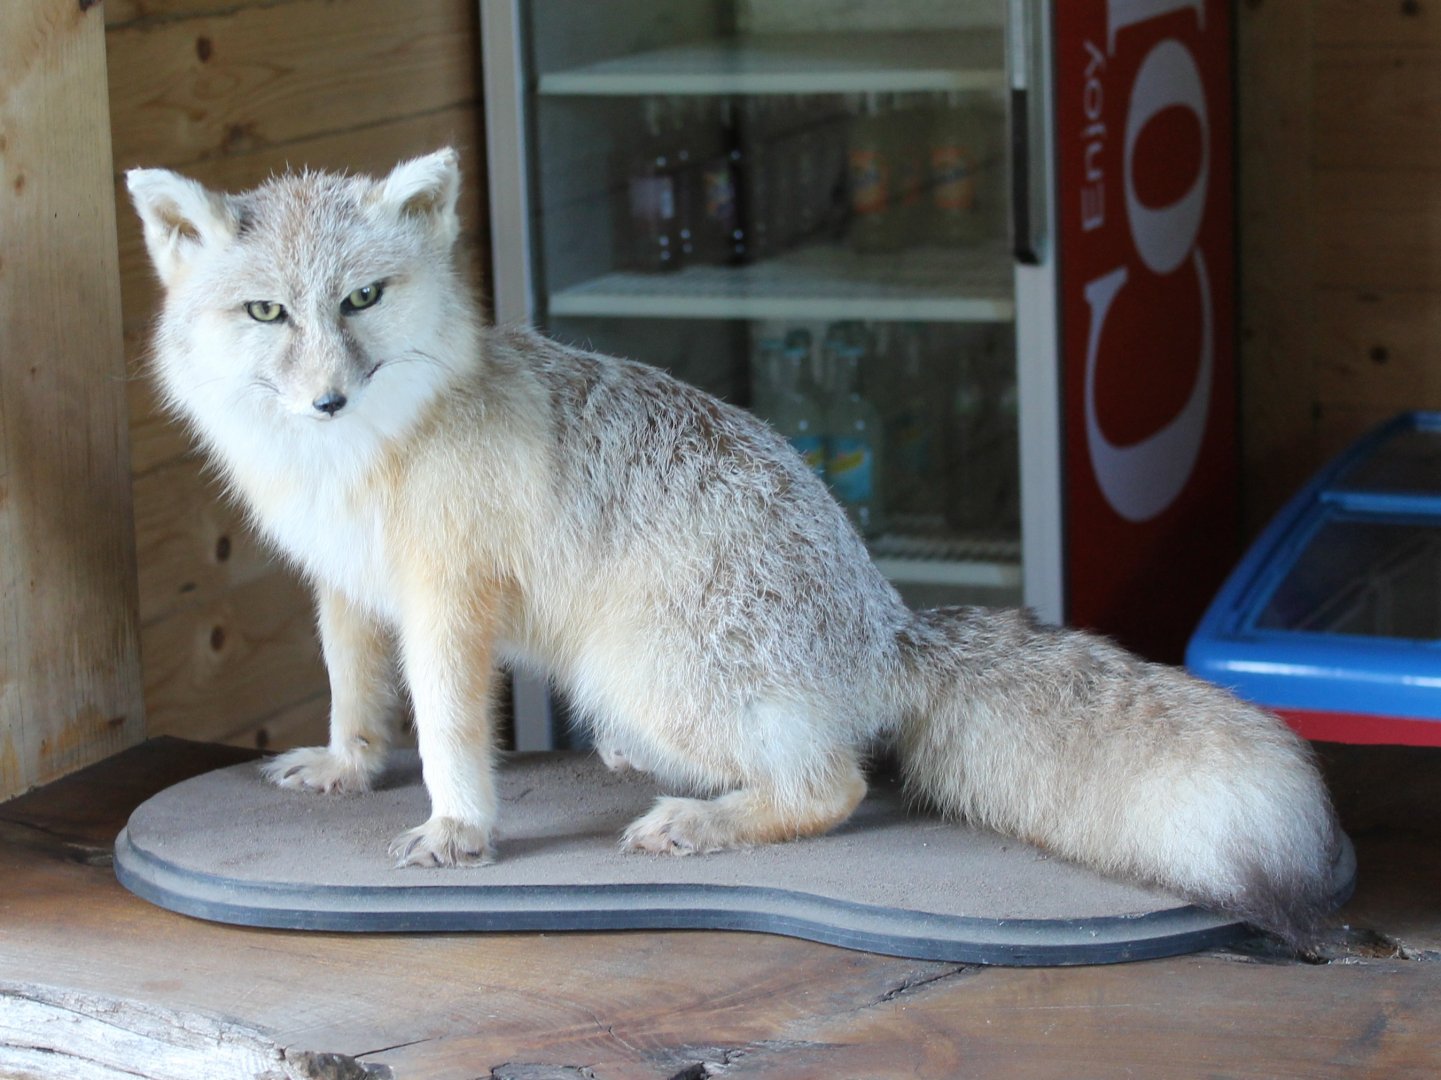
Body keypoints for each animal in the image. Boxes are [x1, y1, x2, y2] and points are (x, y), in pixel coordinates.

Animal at [127, 148, 1341, 948]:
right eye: (270, 315)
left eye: (363, 299)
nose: (327, 399)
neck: (357, 459)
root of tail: (885, 624)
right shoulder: (346, 586)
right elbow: (352, 693)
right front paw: (346, 766)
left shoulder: (447, 609)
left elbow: (448, 738)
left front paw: (459, 826)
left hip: (635, 669)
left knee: (831, 784)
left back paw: (699, 823)